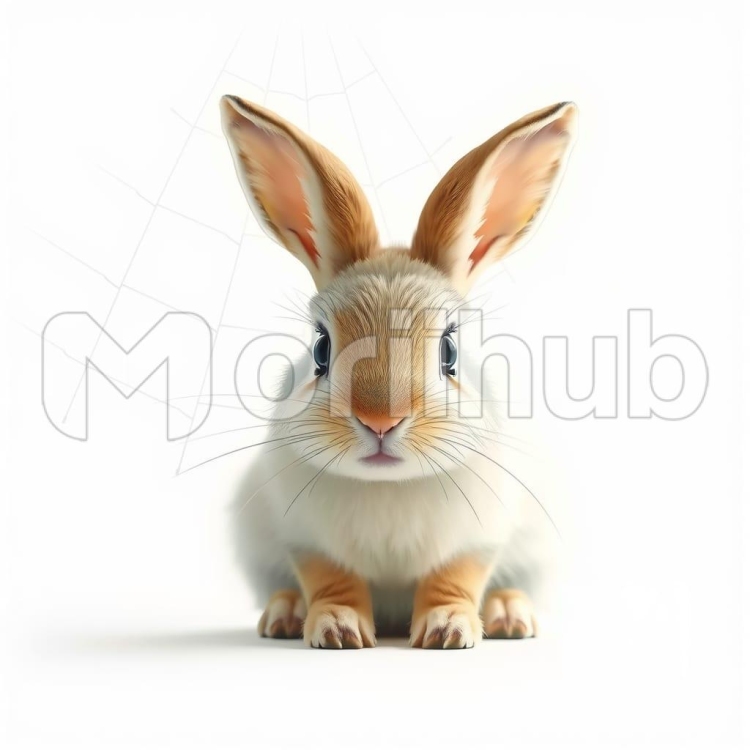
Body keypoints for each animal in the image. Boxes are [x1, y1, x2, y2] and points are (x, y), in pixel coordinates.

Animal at [220, 94, 576, 648]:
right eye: (321, 347)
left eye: (449, 349)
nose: (381, 421)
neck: (388, 486)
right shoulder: (305, 540)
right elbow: (333, 581)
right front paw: (338, 630)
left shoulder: (477, 539)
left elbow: (453, 579)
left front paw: (448, 630)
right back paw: (284, 614)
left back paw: (509, 615)